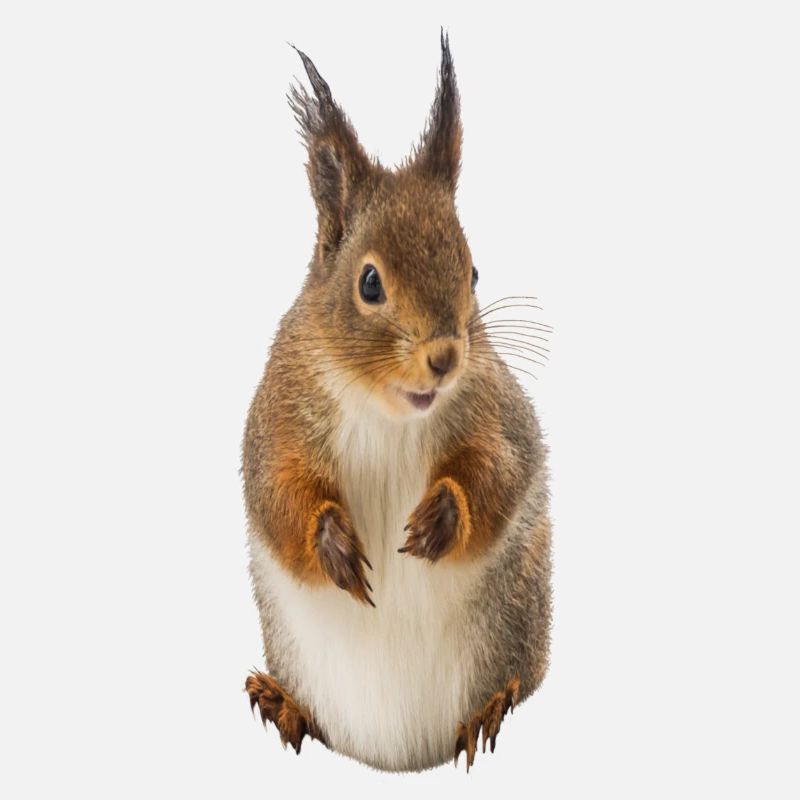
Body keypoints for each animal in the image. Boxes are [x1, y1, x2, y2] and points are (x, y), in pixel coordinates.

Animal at [243, 32, 551, 773]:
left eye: (473, 272)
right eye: (369, 283)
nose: (445, 357)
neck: (386, 408)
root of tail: (396, 757)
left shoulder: (498, 411)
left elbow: (502, 471)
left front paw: (443, 516)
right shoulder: (278, 414)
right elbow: (277, 492)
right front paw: (331, 543)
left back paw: (491, 708)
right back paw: (282, 702)